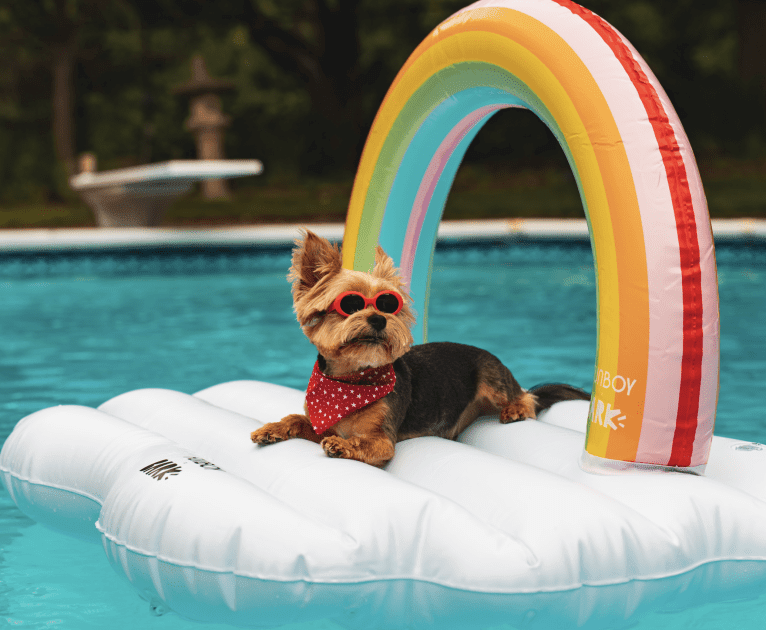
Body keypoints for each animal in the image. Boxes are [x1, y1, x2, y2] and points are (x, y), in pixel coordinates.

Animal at [249, 230, 592, 466]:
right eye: (350, 304)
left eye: (388, 305)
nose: (378, 319)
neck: (351, 381)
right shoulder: (321, 422)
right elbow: (298, 419)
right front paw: (273, 428)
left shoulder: (383, 439)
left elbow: (363, 443)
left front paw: (342, 445)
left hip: (493, 378)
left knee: (527, 397)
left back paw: (516, 409)